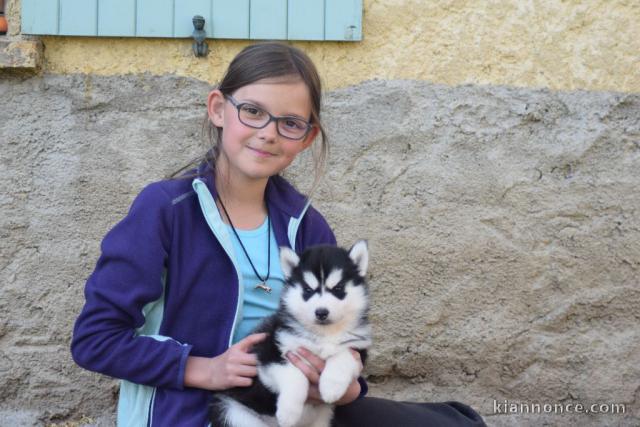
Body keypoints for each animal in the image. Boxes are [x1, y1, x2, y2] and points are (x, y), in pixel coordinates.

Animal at [210, 241, 370, 427]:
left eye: (338, 288)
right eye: (308, 290)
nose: (321, 312)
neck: (322, 333)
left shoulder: (357, 347)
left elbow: (343, 356)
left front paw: (331, 387)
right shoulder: (270, 353)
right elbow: (294, 376)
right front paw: (288, 412)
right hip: (236, 414)